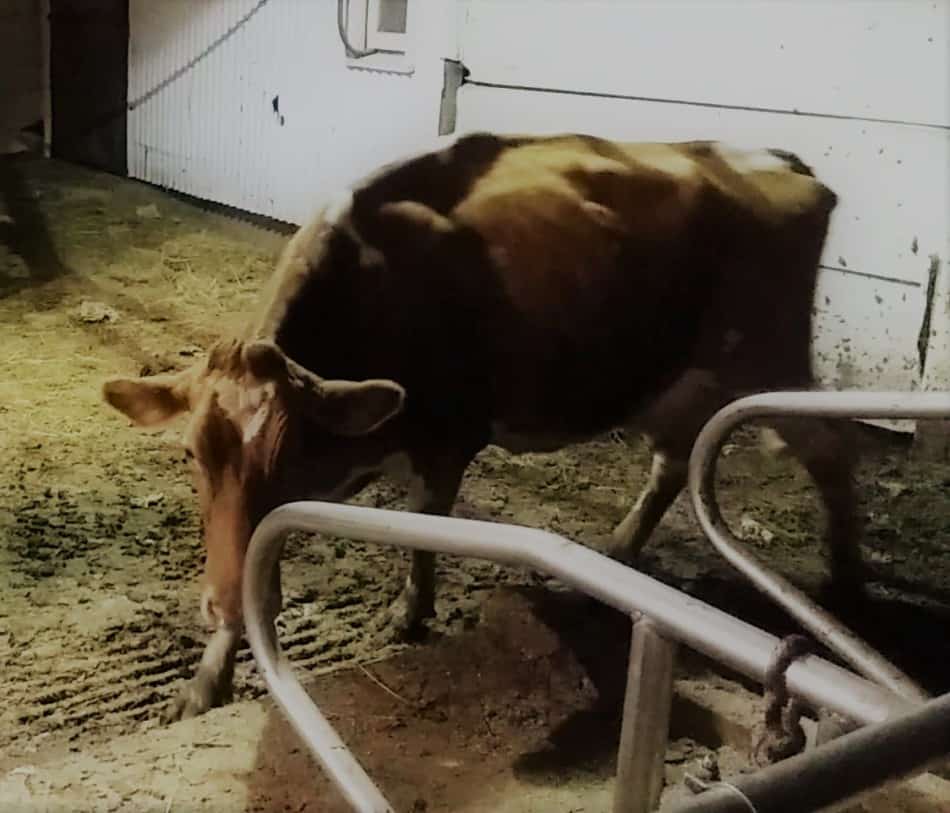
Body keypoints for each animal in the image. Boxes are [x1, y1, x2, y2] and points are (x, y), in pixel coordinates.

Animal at [104, 130, 864, 720]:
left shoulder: (448, 433)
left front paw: (407, 613)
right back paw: (618, 550)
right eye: (190, 454)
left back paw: (843, 587)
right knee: (674, 461)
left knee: (832, 448)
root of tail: (773, 158)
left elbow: (421, 527)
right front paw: (207, 677)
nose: (219, 606)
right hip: (672, 379)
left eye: (287, 454)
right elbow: (253, 554)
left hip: (765, 357)